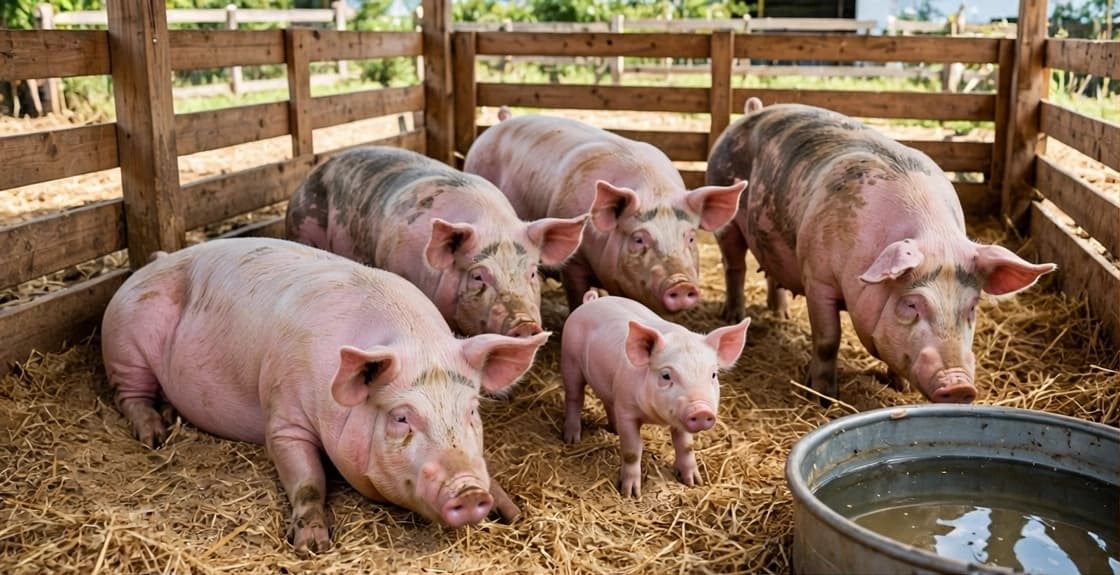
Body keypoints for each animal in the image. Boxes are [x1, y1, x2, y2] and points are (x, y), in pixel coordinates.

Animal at [101, 238, 550, 554]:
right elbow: (307, 480)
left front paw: (513, 513)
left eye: (472, 411)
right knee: (129, 395)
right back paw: (155, 435)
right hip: (124, 343)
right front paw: (313, 546)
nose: (469, 492)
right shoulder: (283, 415)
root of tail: (157, 259)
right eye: (401, 418)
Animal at [561, 289, 750, 497]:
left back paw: (614, 431)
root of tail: (591, 302)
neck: (655, 418)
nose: (701, 410)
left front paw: (694, 482)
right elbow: (632, 451)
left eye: (713, 375)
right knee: (574, 397)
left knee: (607, 401)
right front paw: (630, 494)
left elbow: (686, 446)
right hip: (569, 359)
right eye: (666, 375)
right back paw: (572, 439)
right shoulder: (627, 410)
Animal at [706, 98, 1056, 404]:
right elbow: (828, 339)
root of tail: (752, 111)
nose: (959, 386)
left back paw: (781, 315)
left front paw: (899, 387)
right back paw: (734, 315)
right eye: (912, 304)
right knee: (734, 266)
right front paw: (823, 397)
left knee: (772, 272)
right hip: (727, 214)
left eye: (971, 307)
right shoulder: (818, 278)